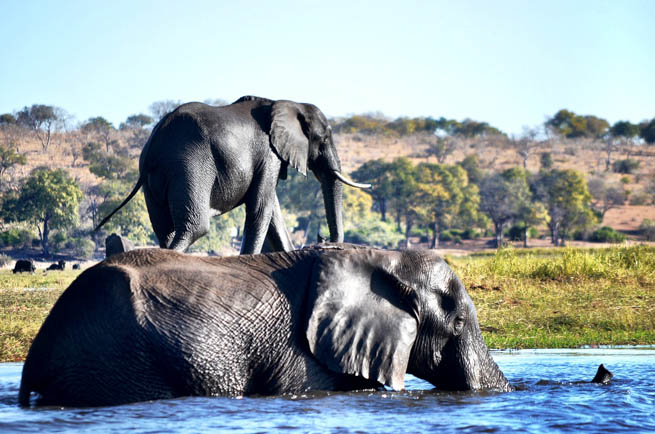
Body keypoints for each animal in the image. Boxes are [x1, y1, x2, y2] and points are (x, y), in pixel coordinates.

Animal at [93, 96, 368, 253]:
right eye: (324, 139)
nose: (323, 239)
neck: (287, 102)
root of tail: (153, 144)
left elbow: (272, 211)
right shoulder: (268, 153)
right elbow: (260, 207)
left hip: (155, 180)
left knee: (165, 230)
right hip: (191, 163)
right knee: (194, 227)